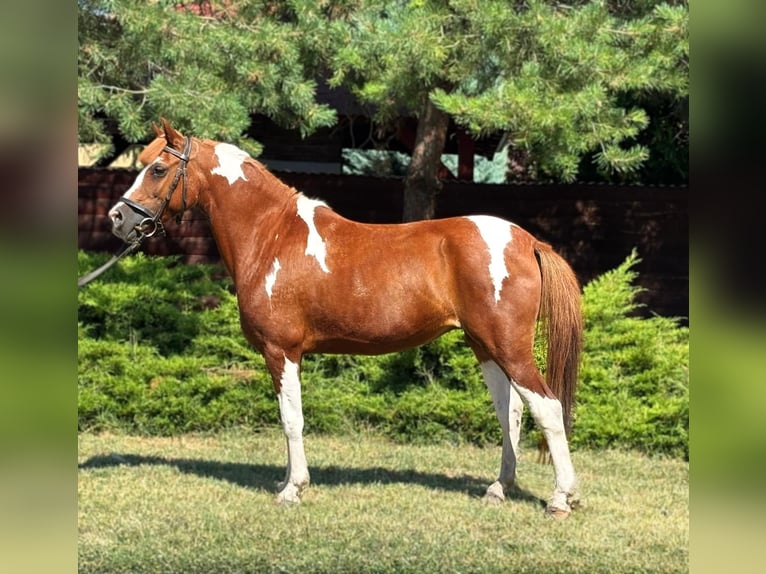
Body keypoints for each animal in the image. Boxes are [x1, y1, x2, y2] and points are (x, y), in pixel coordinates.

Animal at [108, 118, 583, 518]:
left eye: (158, 169)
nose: (118, 218)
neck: (272, 236)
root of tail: (527, 241)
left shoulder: (282, 351)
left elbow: (291, 419)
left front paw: (293, 488)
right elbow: (289, 418)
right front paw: (288, 480)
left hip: (508, 346)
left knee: (547, 407)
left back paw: (561, 498)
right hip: (485, 346)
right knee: (512, 412)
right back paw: (499, 488)